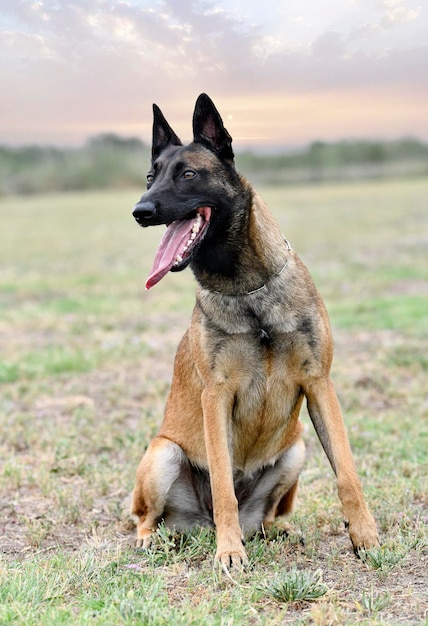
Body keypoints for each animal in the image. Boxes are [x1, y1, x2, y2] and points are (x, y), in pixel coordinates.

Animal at [130, 94, 378, 572]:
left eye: (188, 174)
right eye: (151, 177)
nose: (140, 211)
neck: (247, 291)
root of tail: (199, 524)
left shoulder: (319, 384)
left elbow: (347, 473)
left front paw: (366, 536)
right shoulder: (216, 395)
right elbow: (224, 485)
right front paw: (229, 553)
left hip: (296, 449)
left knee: (266, 516)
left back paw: (276, 530)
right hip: (163, 452)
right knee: (147, 516)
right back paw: (162, 539)